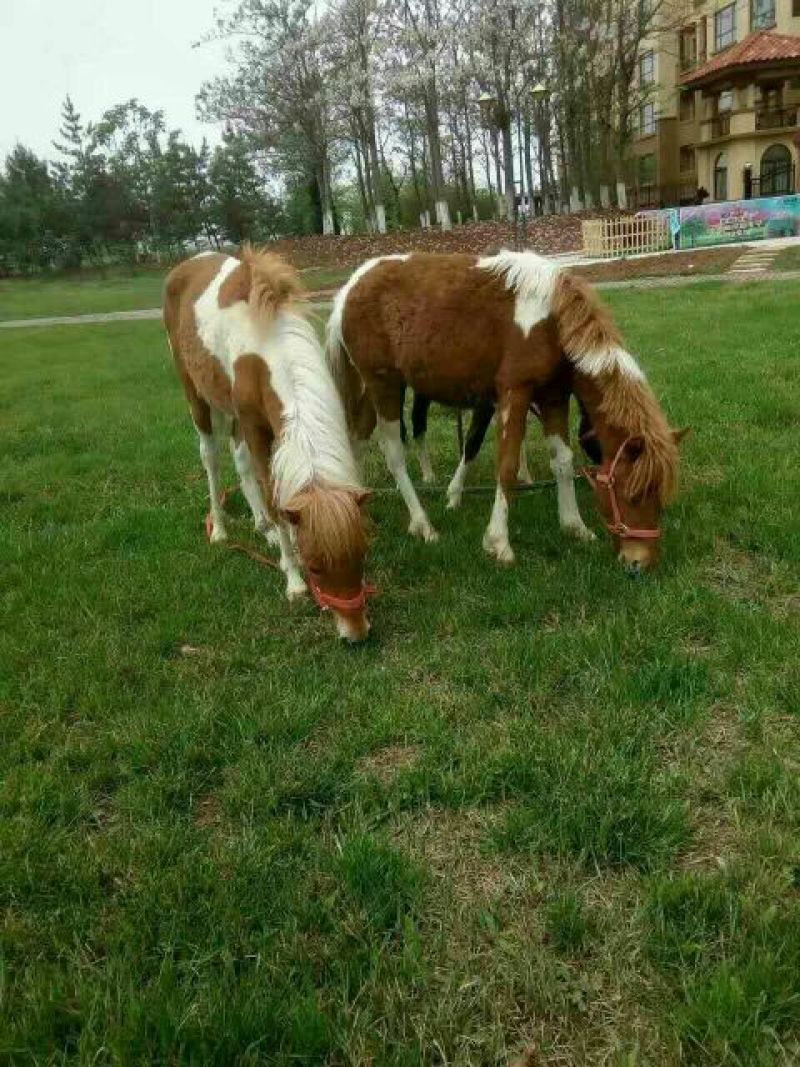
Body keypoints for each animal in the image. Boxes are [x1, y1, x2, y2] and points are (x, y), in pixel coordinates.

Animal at [165, 247, 375, 640]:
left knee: (241, 464)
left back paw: (263, 529)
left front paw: (282, 536)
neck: (267, 352)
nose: (355, 633)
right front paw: (292, 579)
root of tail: (188, 262)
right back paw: (220, 530)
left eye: (361, 555)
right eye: (315, 567)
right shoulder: (256, 428)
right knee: (211, 459)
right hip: (198, 400)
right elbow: (276, 498)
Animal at [326, 251, 691, 576]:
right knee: (394, 455)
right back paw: (422, 524)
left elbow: (562, 462)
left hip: (373, 389)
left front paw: (574, 526)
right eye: (634, 494)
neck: (553, 322)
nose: (639, 562)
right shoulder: (513, 393)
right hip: (384, 386)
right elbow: (507, 466)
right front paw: (498, 543)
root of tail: (351, 288)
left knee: (357, 440)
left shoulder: (553, 397)